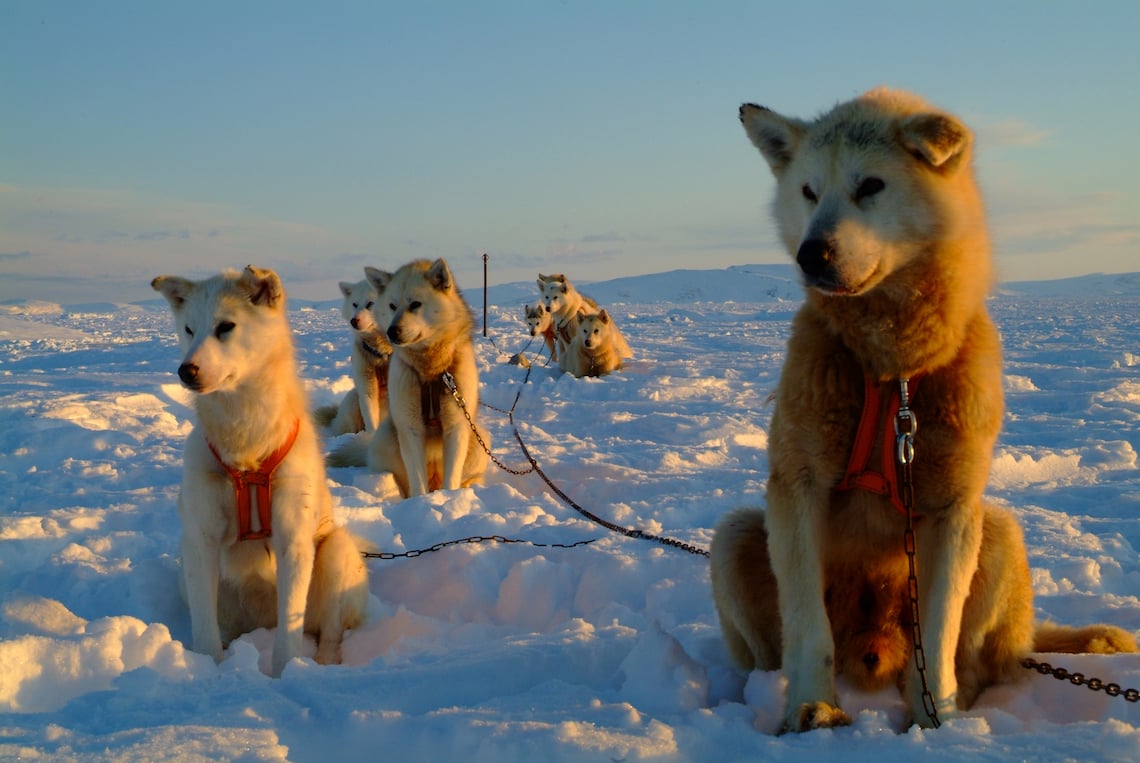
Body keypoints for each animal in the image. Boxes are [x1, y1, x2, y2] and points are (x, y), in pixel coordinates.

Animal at [152, 264, 369, 675]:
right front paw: (207, 671)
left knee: (328, 631)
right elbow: (203, 628)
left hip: (336, 552)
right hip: (188, 570)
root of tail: (259, 621)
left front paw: (287, 673)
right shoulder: (200, 540)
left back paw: (325, 663)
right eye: (189, 329)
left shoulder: (293, 539)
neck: (245, 446)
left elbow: (290, 630)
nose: (186, 370)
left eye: (225, 326)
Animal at [314, 278, 394, 433]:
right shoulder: (367, 387)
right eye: (354, 304)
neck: (382, 352)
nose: (353, 321)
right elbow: (371, 421)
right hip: (353, 400)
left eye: (370, 303)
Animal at [330, 258, 490, 497]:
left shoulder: (457, 426)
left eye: (415, 304)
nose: (391, 331)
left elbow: (452, 477)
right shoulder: (409, 427)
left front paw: (447, 498)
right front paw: (421, 501)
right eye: (392, 306)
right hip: (385, 438)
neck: (430, 370)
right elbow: (416, 480)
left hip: (479, 438)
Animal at [706, 87, 1135, 729]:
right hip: (733, 537)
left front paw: (935, 725)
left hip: (998, 534)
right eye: (808, 191)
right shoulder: (797, 486)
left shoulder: (954, 507)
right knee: (768, 650)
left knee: (974, 661)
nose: (811, 254)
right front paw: (812, 706)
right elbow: (808, 628)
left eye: (871, 185)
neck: (893, 370)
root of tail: (871, 651)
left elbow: (937, 635)